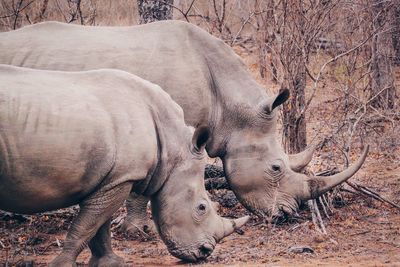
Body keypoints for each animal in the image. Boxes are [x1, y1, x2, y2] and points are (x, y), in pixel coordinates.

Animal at [0, 65, 248, 266]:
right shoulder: (122, 177)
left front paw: (110, 263)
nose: (205, 252)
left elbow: (98, 225)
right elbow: (87, 226)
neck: (173, 146)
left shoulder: (112, 179)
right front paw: (61, 265)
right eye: (201, 207)